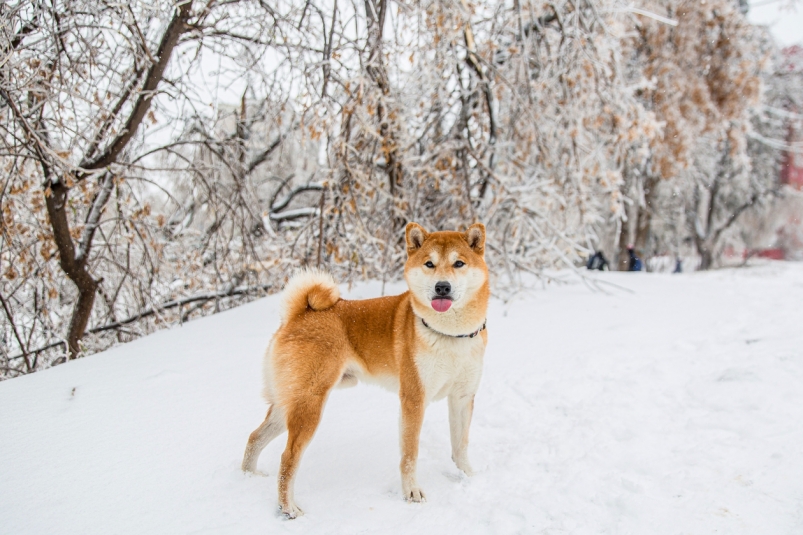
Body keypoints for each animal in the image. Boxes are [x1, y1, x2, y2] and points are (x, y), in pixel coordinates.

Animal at [239, 222, 490, 520]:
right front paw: (411, 492)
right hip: (309, 405)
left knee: (255, 437)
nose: (442, 287)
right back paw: (288, 508)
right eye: (429, 264)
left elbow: (460, 446)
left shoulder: (462, 398)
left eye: (459, 263)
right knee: (288, 458)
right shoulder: (414, 400)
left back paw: (249, 477)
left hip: (288, 403)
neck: (450, 335)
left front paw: (469, 477)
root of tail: (299, 313)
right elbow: (410, 454)